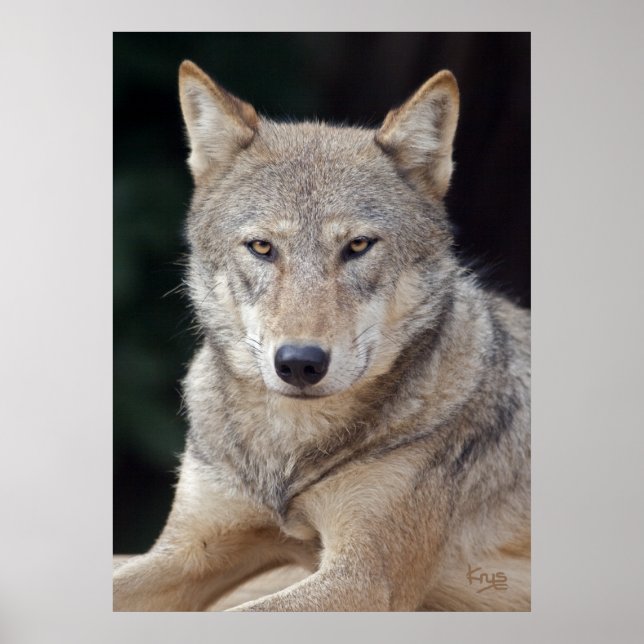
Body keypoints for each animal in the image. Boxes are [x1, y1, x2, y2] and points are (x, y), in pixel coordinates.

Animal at [113, 60, 530, 611]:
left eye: (357, 246)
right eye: (262, 247)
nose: (300, 363)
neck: (289, 453)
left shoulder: (362, 578)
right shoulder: (187, 551)